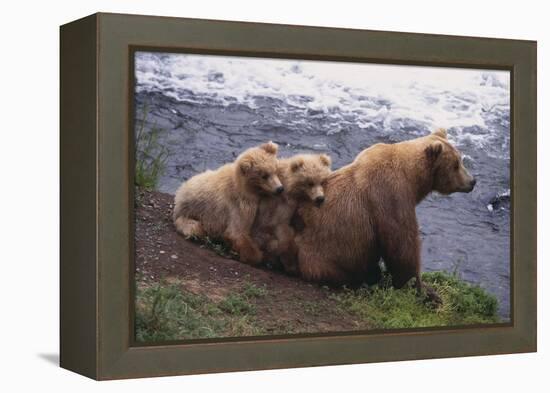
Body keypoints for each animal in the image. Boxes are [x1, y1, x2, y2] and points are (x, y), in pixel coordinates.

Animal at [296, 129, 476, 300]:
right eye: (456, 164)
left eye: (460, 160)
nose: (472, 181)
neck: (412, 179)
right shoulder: (390, 195)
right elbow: (402, 247)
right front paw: (426, 292)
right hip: (322, 256)